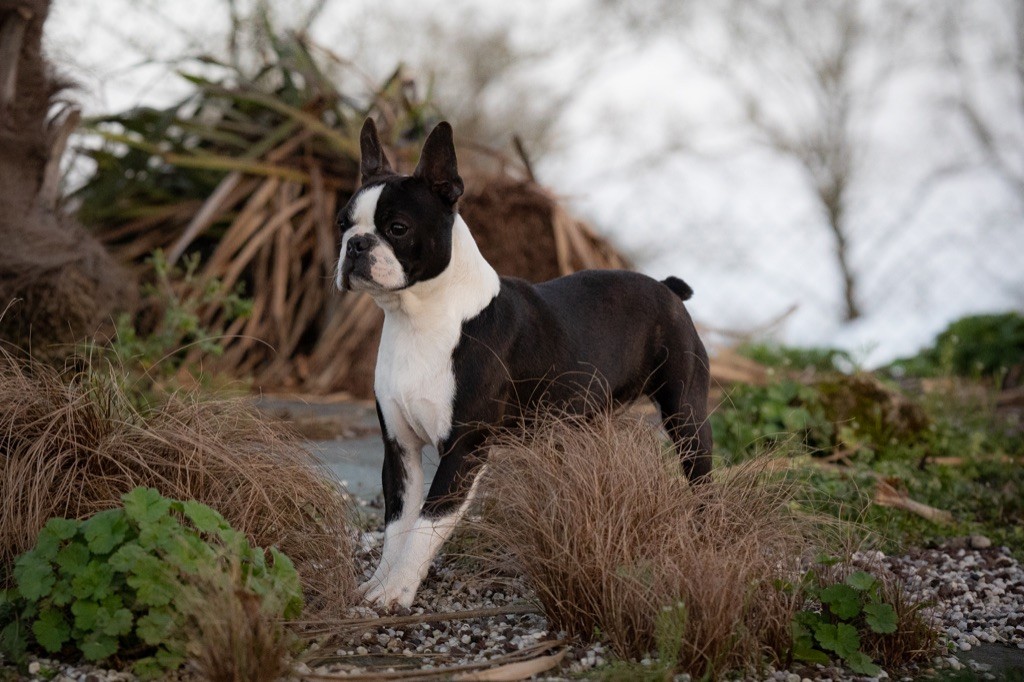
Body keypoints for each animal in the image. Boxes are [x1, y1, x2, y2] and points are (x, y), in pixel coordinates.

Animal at [335, 116, 712, 606]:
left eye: (397, 228)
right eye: (342, 224)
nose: (356, 245)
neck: (416, 321)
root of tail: (666, 288)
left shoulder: (464, 450)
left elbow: (427, 524)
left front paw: (398, 590)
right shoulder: (400, 450)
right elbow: (398, 524)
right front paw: (380, 584)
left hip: (685, 414)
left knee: (702, 478)